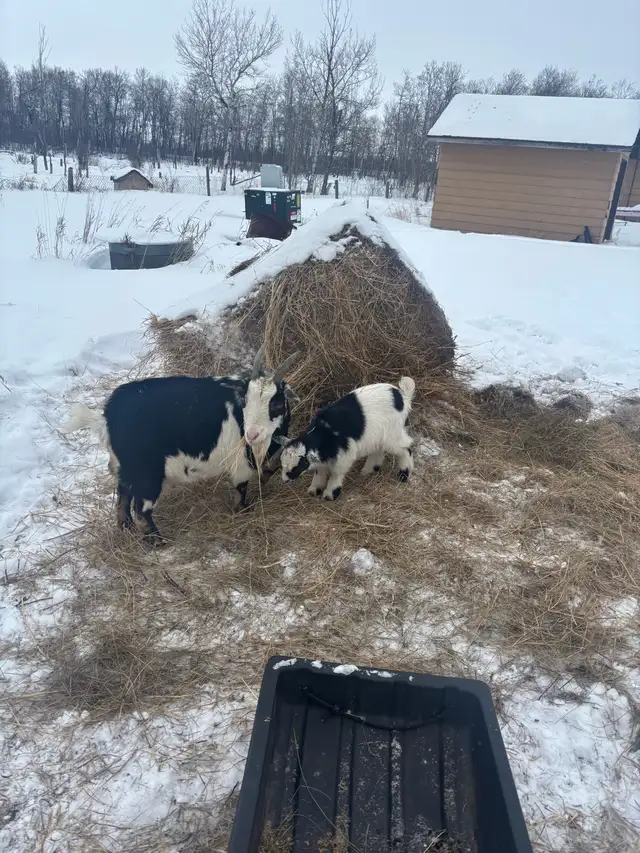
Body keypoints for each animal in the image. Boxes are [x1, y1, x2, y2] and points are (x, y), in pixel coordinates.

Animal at [64, 346, 299, 544]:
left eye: (276, 403)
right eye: (247, 400)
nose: (252, 434)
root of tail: (106, 417)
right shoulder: (240, 460)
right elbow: (241, 487)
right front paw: (243, 510)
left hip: (126, 468)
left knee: (122, 497)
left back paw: (126, 528)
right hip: (146, 474)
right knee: (141, 509)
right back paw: (157, 541)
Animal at [276, 378, 415, 501]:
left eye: (297, 467)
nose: (285, 480)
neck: (324, 433)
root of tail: (403, 396)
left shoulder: (344, 456)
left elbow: (336, 474)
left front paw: (330, 494)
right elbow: (319, 471)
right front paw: (314, 489)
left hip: (392, 434)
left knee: (406, 448)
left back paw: (403, 474)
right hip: (378, 436)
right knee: (378, 450)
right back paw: (369, 470)